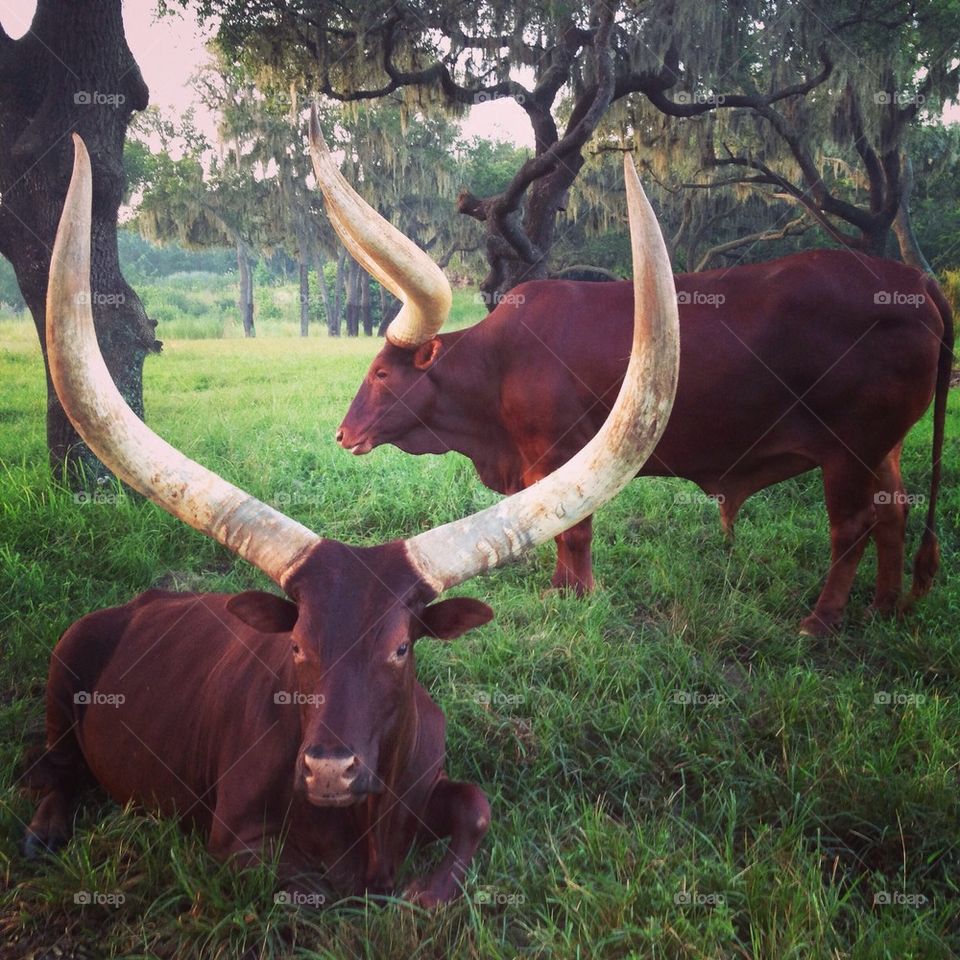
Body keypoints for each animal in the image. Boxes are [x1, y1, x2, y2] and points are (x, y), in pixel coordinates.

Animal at [21, 131, 679, 907]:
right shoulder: (234, 844)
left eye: (400, 650)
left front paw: (425, 893)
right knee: (53, 770)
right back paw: (42, 831)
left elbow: (475, 808)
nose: (329, 770)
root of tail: (145, 600)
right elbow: (303, 878)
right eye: (298, 646)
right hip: (64, 669)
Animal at [314, 131, 953, 639]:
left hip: (850, 450)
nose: (342, 435)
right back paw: (884, 608)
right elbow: (561, 530)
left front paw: (574, 593)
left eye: (380, 373)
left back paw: (820, 622)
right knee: (894, 514)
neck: (497, 364)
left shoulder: (558, 454)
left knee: (852, 527)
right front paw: (563, 589)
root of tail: (912, 282)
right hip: (884, 447)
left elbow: (573, 531)